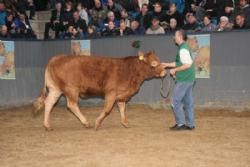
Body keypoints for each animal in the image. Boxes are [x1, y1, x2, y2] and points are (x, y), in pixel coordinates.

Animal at [33, 51, 166, 130]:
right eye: (154, 63)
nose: (164, 72)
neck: (130, 70)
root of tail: (57, 58)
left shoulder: (121, 94)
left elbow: (122, 108)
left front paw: (125, 123)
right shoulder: (111, 92)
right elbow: (107, 109)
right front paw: (97, 123)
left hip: (55, 89)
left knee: (49, 102)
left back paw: (47, 125)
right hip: (71, 89)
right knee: (71, 105)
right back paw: (86, 123)